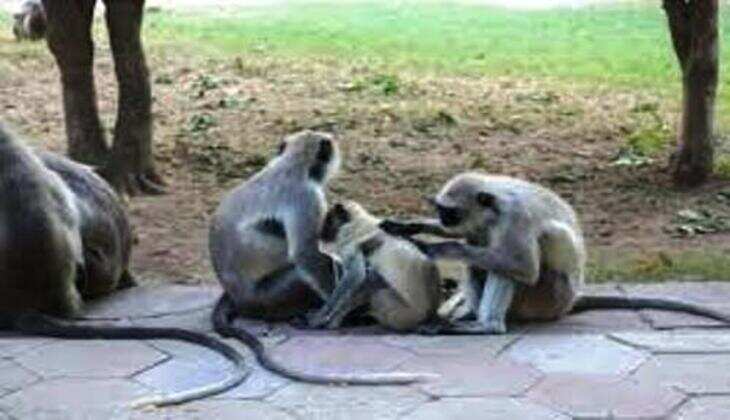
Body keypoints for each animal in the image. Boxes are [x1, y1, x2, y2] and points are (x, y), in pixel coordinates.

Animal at [306, 200, 442, 332]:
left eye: (328, 222)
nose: (321, 236)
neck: (358, 224)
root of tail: (427, 316)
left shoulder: (353, 246)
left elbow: (355, 276)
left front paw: (320, 317)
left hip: (402, 313)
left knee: (372, 281)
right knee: (370, 279)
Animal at [380, 172, 730, 334]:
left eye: (449, 212)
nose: (442, 219)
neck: (495, 205)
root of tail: (572, 299)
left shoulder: (515, 218)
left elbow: (523, 267)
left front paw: (436, 247)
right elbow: (472, 237)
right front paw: (407, 225)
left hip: (548, 296)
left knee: (512, 266)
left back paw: (488, 326)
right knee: (479, 258)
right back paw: (470, 315)